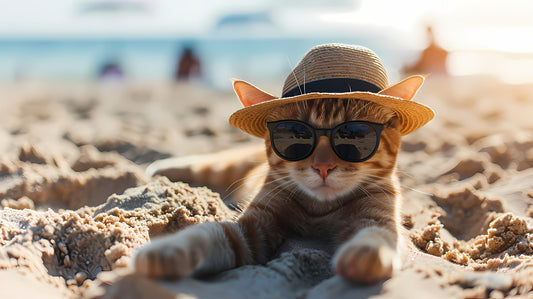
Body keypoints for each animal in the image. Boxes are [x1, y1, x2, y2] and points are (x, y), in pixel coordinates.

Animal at [133, 43, 432, 284]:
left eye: (355, 136)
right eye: (295, 134)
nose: (323, 167)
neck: (319, 210)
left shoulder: (378, 217)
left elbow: (377, 234)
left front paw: (367, 253)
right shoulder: (251, 227)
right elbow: (207, 233)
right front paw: (166, 250)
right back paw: (163, 169)